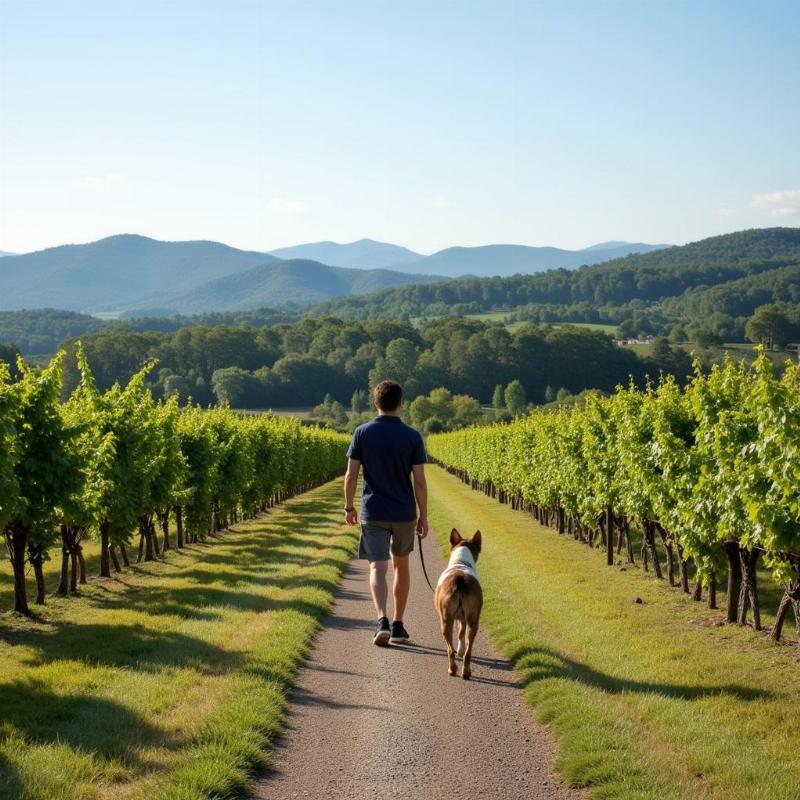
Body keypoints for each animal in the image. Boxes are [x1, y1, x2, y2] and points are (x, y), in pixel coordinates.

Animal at [434, 528, 484, 680]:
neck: (461, 562)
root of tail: (460, 580)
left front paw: (459, 651)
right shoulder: (463, 618)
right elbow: (461, 633)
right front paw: (461, 650)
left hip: (445, 620)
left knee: (450, 649)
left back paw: (452, 669)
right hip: (473, 618)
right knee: (468, 648)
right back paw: (466, 671)